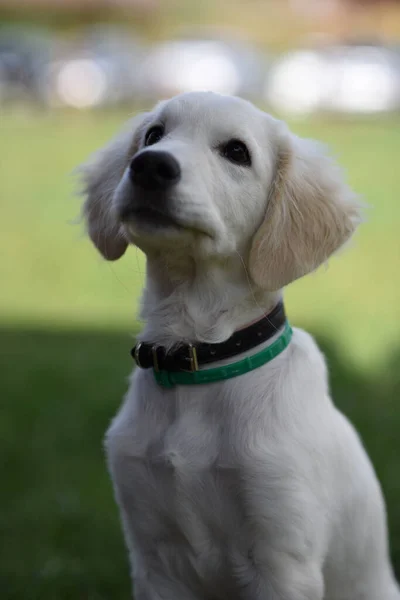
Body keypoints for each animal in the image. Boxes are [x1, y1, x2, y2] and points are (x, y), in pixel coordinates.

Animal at [79, 90, 398, 600]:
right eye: (153, 135)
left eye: (236, 152)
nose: (150, 166)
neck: (200, 360)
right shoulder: (152, 556)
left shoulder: (282, 557)